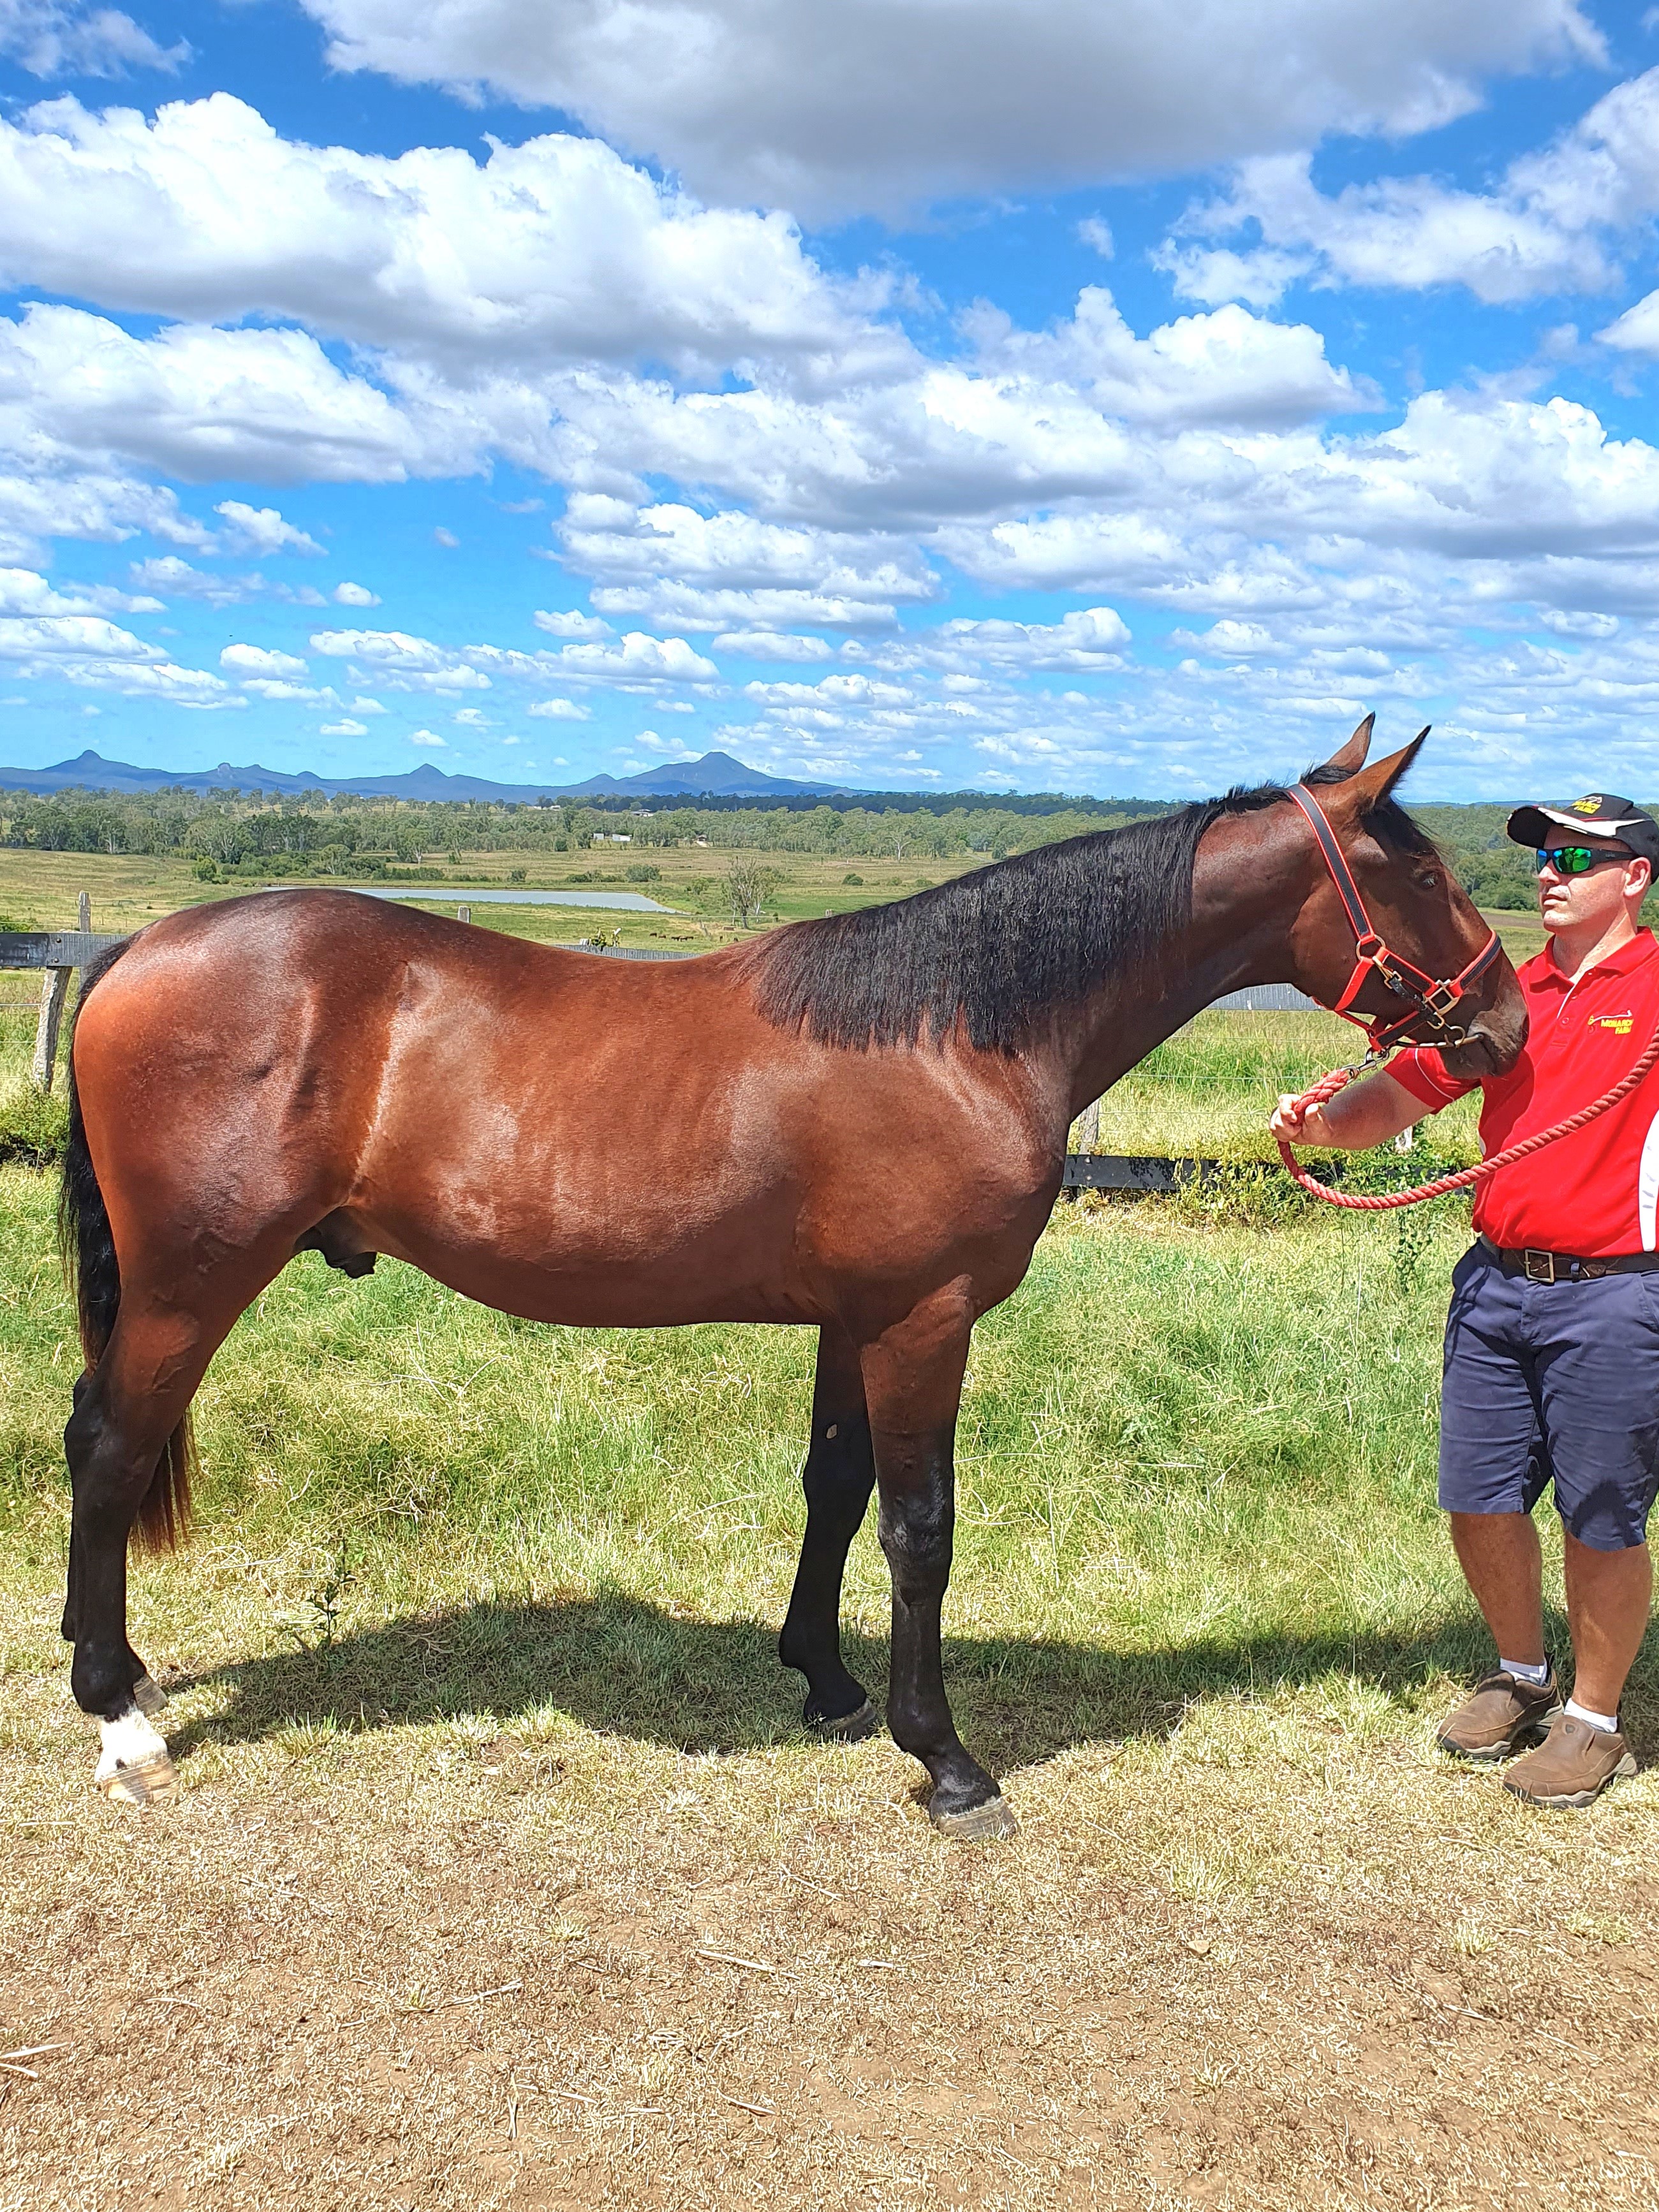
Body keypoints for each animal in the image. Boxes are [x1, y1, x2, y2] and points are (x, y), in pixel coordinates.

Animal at [57, 718, 1525, 1831]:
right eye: (1420, 871)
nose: (1508, 1023)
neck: (956, 1031)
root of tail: (137, 950)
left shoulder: (851, 1321)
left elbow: (835, 1487)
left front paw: (824, 1679)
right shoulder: (924, 1322)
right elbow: (920, 1527)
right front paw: (946, 1760)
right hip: (191, 1284)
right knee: (113, 1444)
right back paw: (117, 1712)